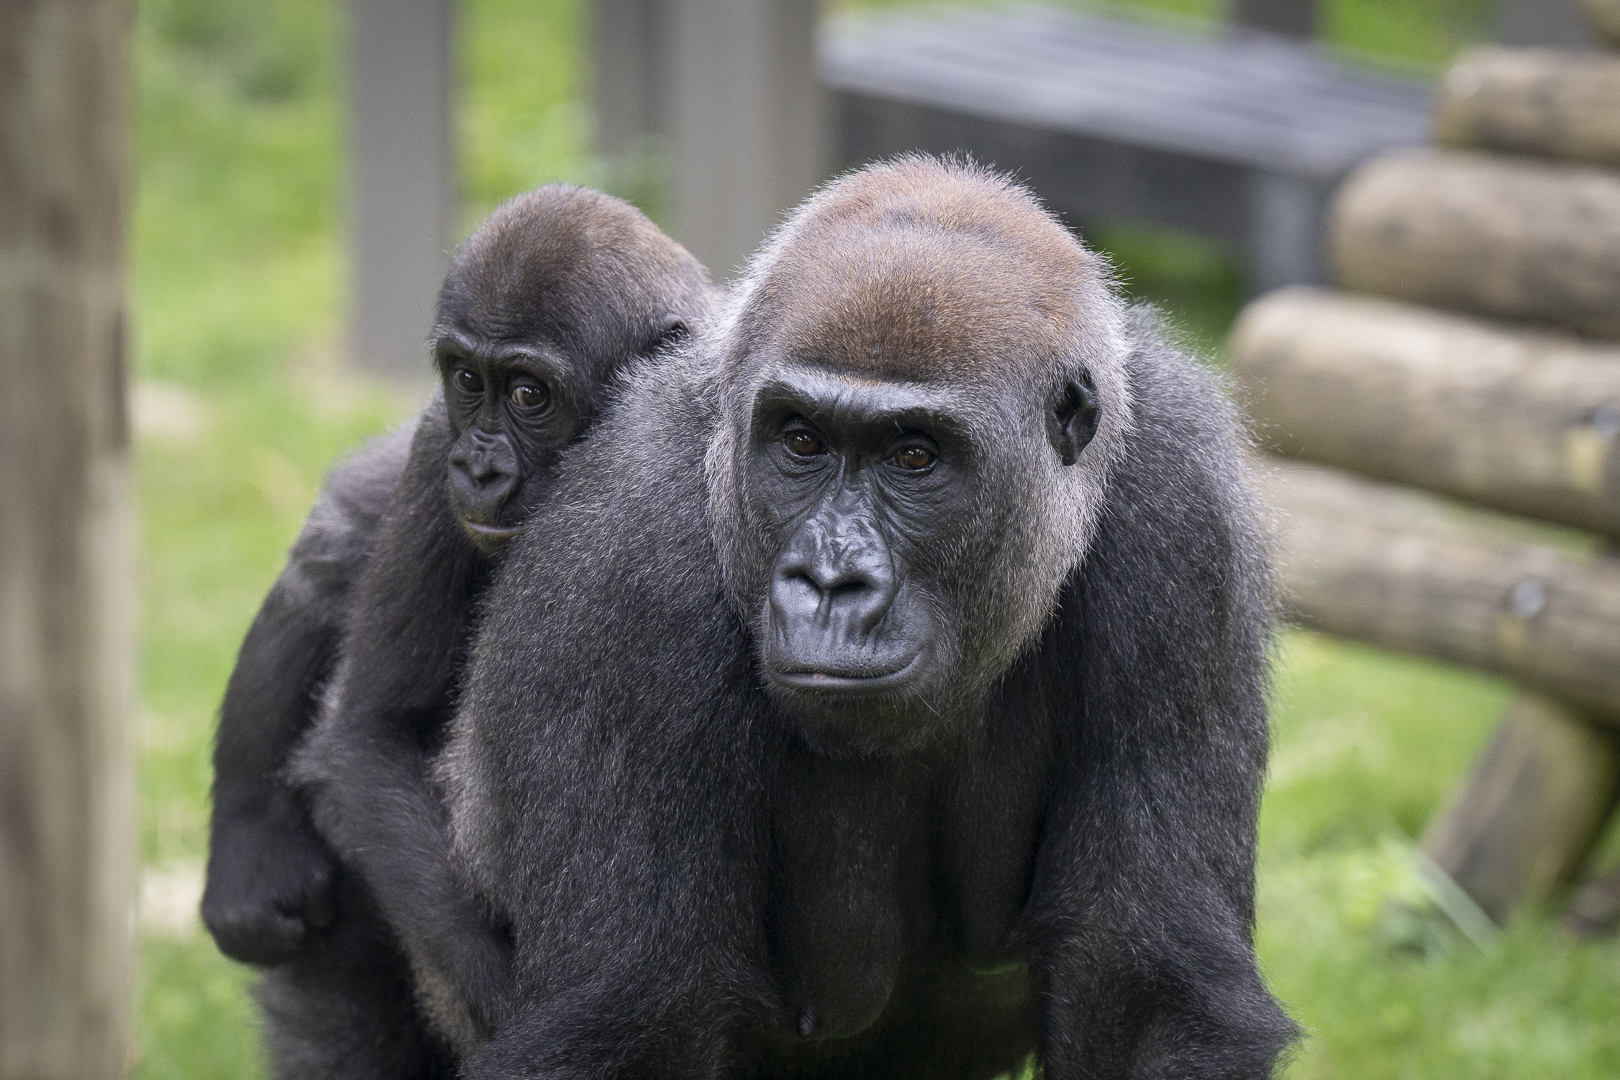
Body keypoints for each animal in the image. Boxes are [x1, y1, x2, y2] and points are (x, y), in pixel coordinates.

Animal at [200, 183, 716, 1079]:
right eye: (469, 381)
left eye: (530, 395)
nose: (478, 466)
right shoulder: (430, 441)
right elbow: (372, 729)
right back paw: (250, 843)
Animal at [434, 156, 1298, 1080]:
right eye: (801, 442)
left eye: (915, 455)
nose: (829, 579)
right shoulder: (625, 561)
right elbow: (630, 1027)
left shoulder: (1184, 503)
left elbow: (1146, 986)